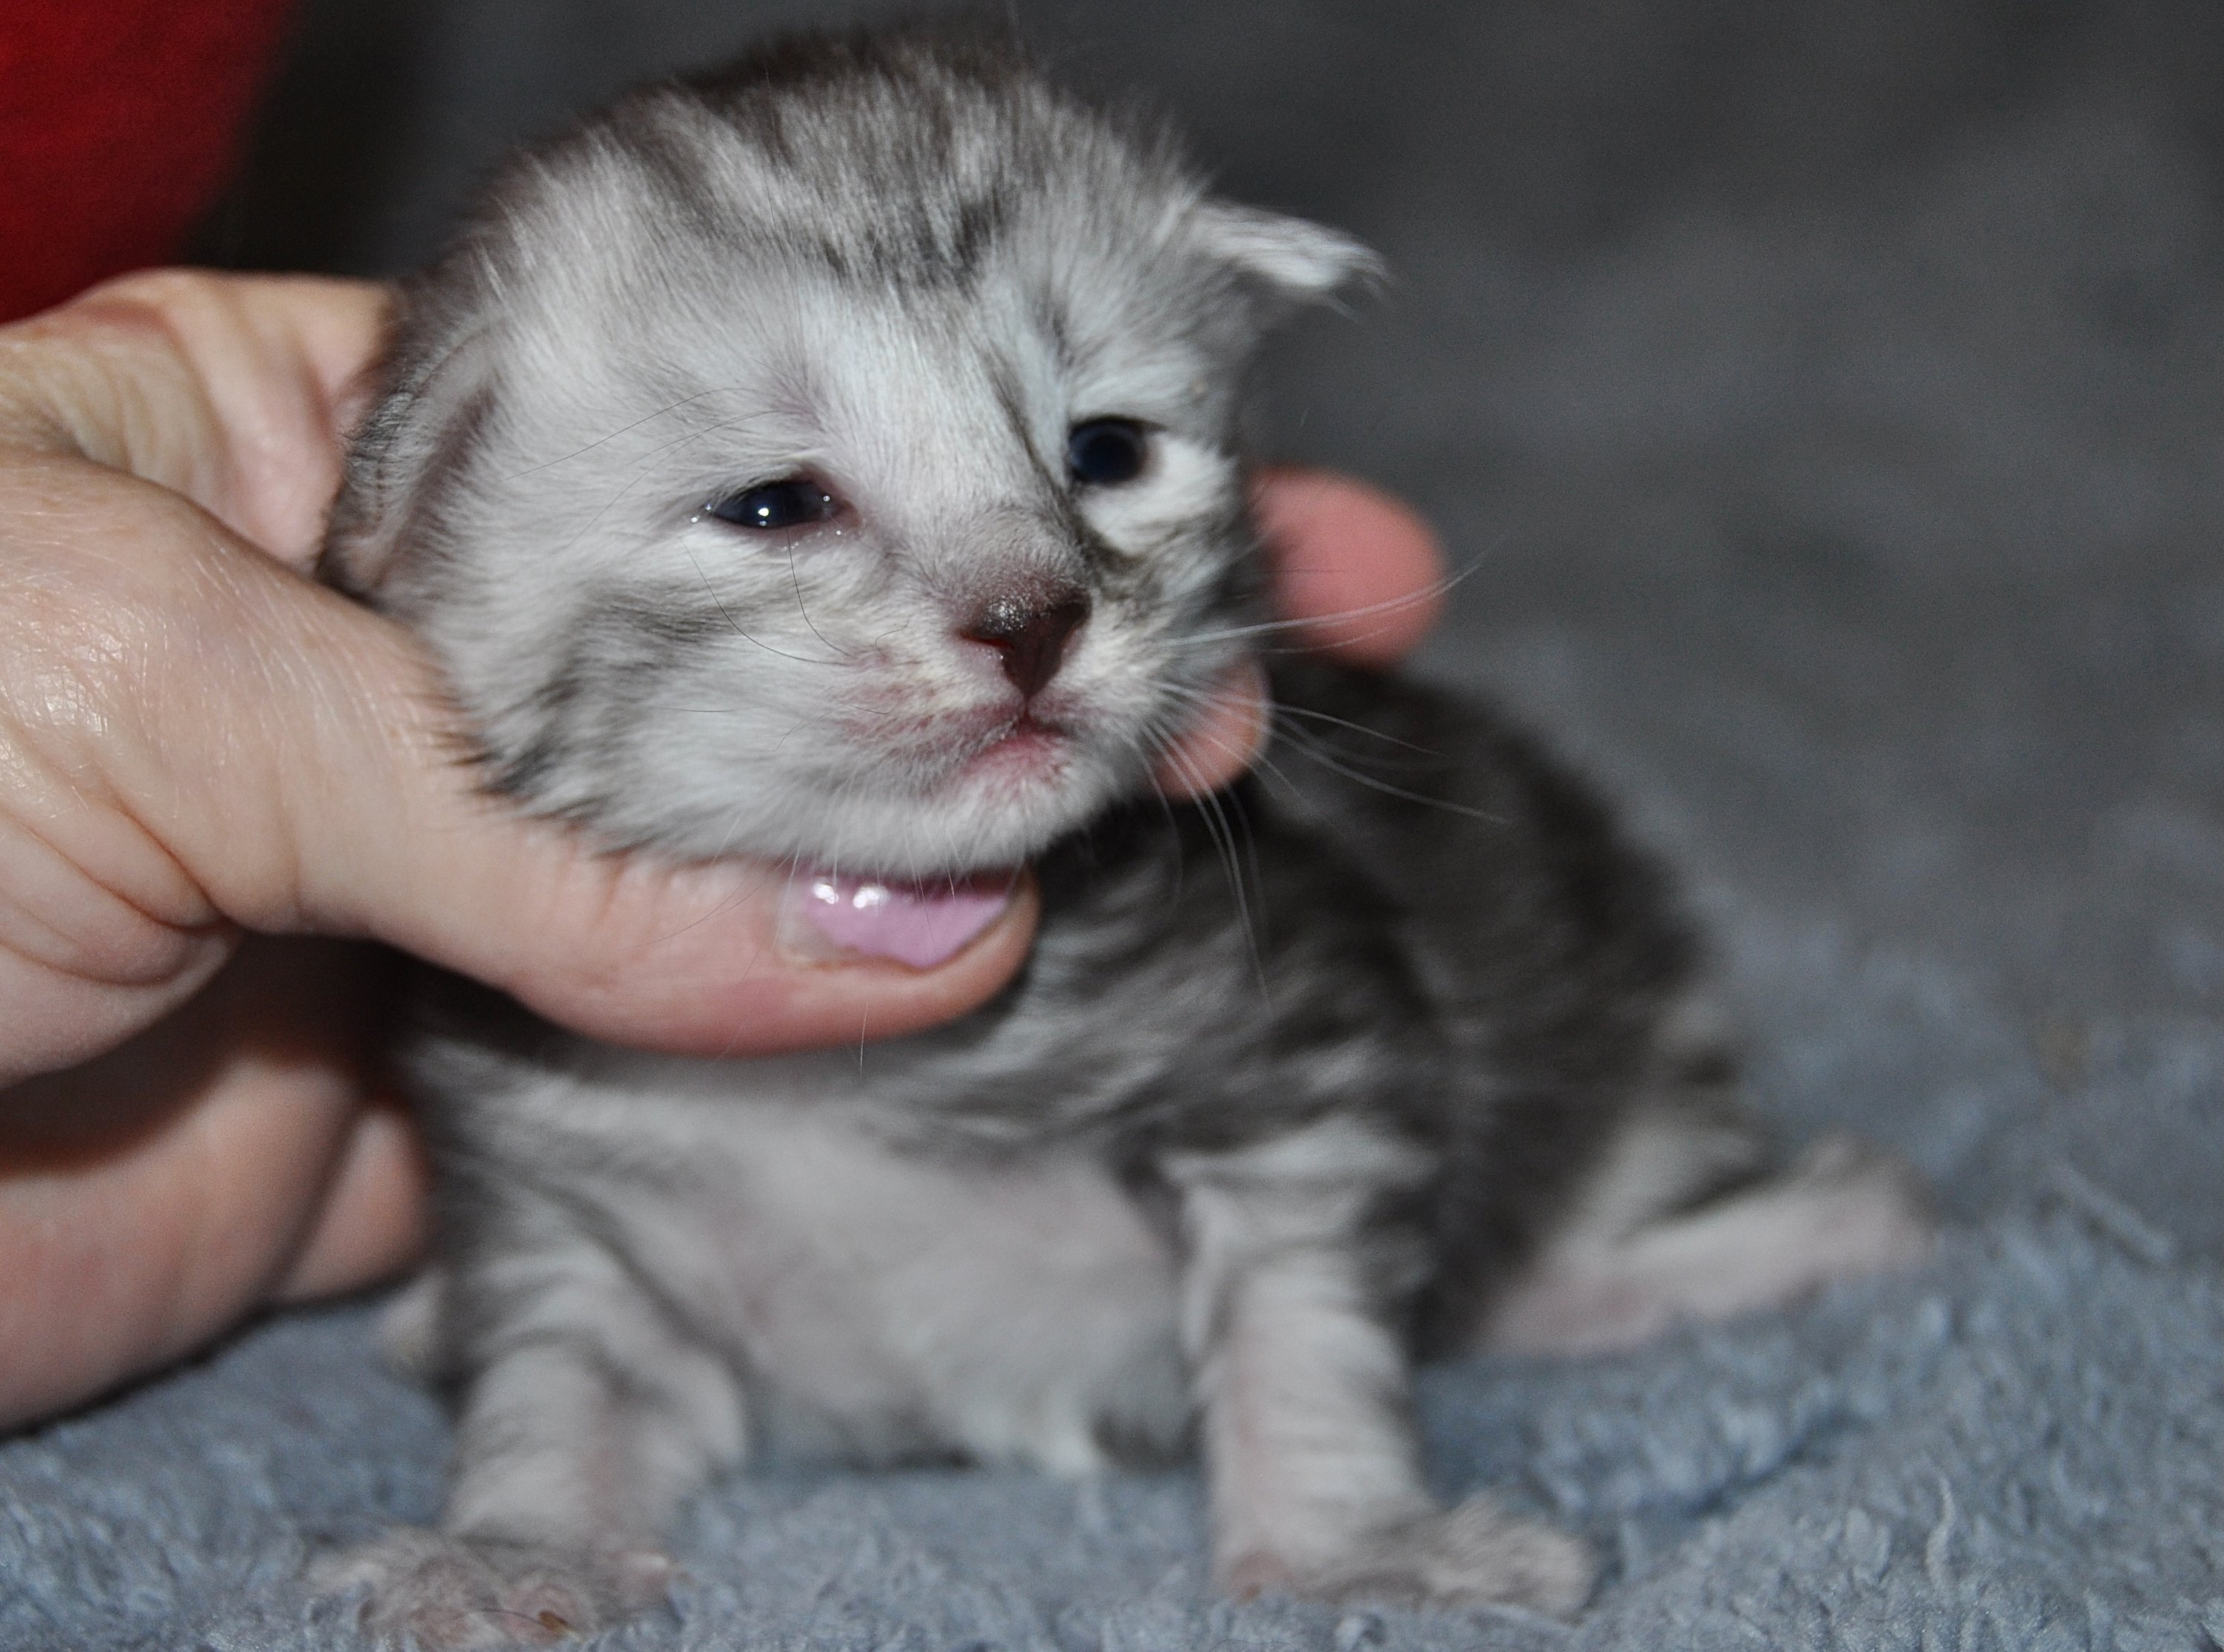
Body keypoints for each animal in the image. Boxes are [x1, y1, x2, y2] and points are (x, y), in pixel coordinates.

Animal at [311, 27, 1932, 1647]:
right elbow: (556, 1380)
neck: (841, 1076)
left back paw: (1776, 1241)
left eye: (1104, 451)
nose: (1032, 616)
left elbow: (1305, 1325)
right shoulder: (564, 1198)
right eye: (775, 504)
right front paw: (515, 1544)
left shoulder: (1308, 1051)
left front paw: (1354, 1548)